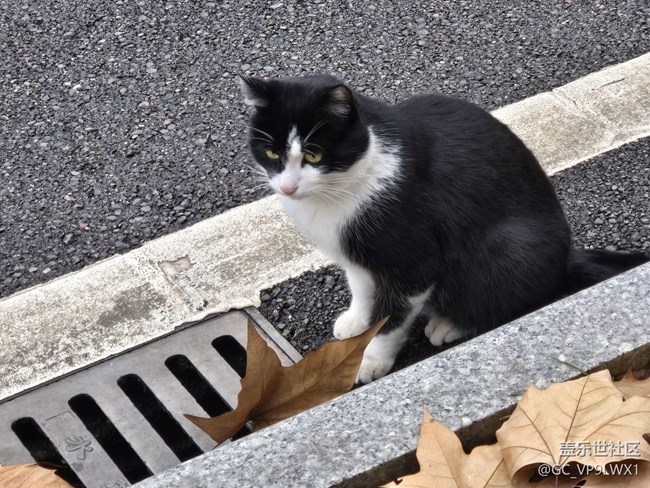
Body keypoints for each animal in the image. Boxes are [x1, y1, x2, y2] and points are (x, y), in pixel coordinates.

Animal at [240, 74, 649, 384]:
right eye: (272, 153)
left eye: (313, 155)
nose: (287, 187)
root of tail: (566, 257)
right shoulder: (354, 253)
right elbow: (362, 288)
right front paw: (356, 322)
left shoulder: (412, 258)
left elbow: (391, 318)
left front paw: (369, 360)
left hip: (508, 246)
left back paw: (451, 324)